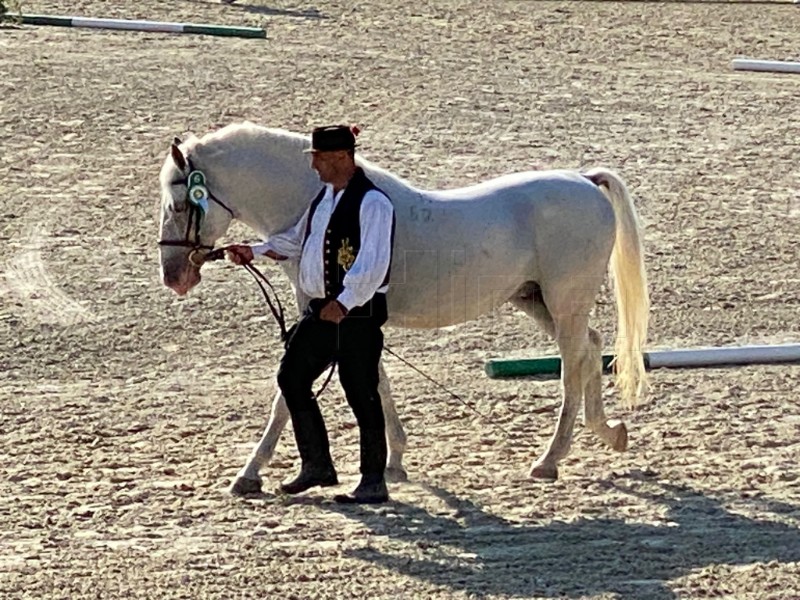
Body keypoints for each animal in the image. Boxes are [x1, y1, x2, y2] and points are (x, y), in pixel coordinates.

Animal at [158, 123, 648, 496]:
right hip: (538, 302)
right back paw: (610, 433)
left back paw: (549, 460)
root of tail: (584, 180)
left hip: (565, 304)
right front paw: (394, 461)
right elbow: (378, 381)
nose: (173, 276)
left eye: (180, 204)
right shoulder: (352, 317)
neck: (322, 198)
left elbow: (287, 397)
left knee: (572, 364)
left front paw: (249, 473)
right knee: (591, 348)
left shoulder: (325, 314)